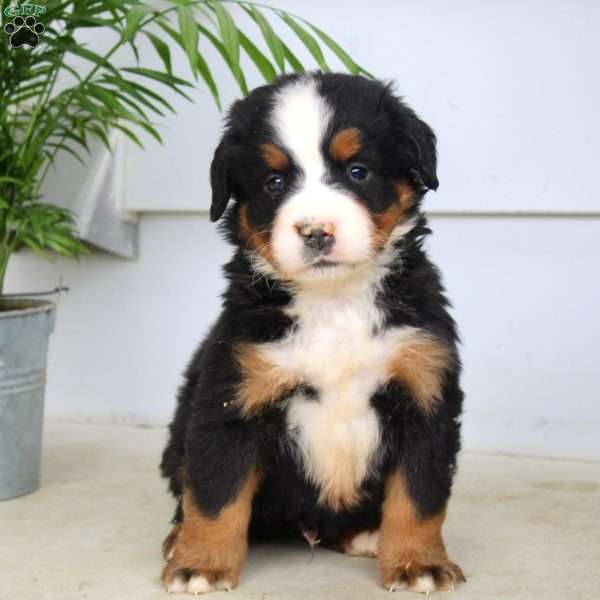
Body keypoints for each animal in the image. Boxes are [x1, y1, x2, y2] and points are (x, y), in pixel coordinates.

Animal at [159, 72, 464, 592]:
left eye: (358, 171)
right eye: (274, 181)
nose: (316, 231)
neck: (334, 301)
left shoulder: (424, 395)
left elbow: (419, 497)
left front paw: (416, 562)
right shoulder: (231, 397)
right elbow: (216, 493)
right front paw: (201, 563)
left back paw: (367, 535)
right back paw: (178, 538)